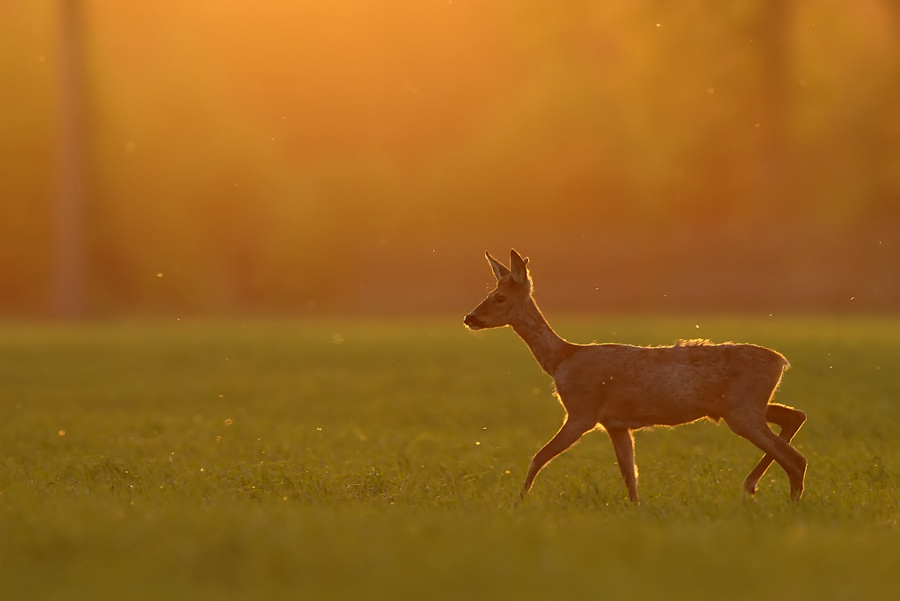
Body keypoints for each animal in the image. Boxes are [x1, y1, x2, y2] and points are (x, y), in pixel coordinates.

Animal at [464, 248, 808, 502]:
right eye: (491, 293)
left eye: (499, 298)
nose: (470, 318)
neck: (561, 359)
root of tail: (780, 361)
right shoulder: (616, 424)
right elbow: (630, 476)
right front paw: (636, 510)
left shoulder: (581, 412)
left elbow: (539, 456)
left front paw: (517, 503)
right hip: (742, 405)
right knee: (795, 417)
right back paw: (754, 486)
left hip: (742, 409)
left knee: (796, 458)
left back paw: (780, 499)